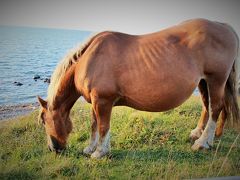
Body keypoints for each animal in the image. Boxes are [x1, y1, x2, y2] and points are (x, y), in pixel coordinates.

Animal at [38, 19, 239, 158]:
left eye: (43, 121)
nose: (53, 149)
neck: (89, 58)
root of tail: (224, 27)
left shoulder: (103, 100)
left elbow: (103, 126)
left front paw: (100, 152)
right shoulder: (95, 101)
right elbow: (94, 124)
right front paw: (90, 148)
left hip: (216, 80)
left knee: (215, 108)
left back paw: (203, 143)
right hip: (203, 81)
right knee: (206, 106)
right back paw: (199, 134)